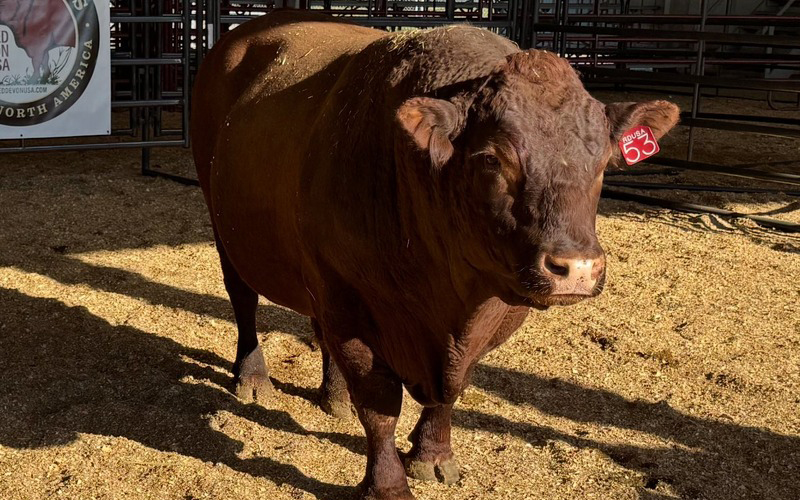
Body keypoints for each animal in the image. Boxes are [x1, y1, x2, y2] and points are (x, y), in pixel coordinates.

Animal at [191, 10, 679, 500]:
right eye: (492, 159)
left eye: (602, 162)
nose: (576, 268)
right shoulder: (349, 302)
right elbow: (380, 405)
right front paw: (387, 485)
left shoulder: (492, 314)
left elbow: (451, 392)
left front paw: (433, 456)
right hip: (225, 227)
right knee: (244, 301)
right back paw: (253, 378)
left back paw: (334, 398)